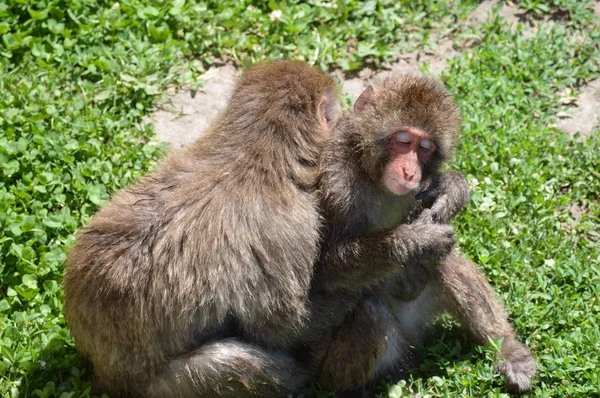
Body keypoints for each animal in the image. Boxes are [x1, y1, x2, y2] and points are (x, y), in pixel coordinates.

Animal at [62, 59, 342, 398]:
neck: (255, 151)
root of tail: (104, 371)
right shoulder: (290, 228)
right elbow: (282, 326)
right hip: (164, 385)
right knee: (233, 365)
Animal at [308, 75, 536, 394]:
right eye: (403, 140)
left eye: (425, 147)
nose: (410, 172)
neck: (370, 174)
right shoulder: (334, 185)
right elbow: (324, 272)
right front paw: (414, 240)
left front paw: (451, 189)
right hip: (334, 365)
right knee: (370, 314)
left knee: (445, 261)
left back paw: (505, 347)